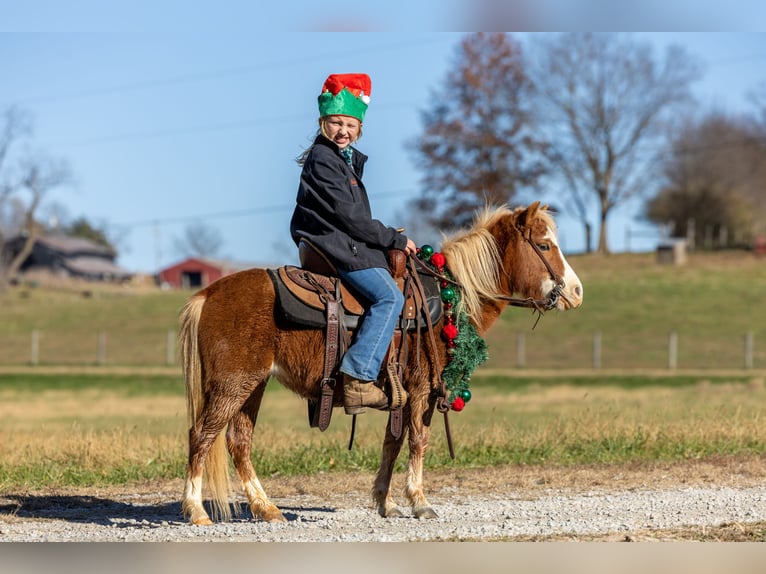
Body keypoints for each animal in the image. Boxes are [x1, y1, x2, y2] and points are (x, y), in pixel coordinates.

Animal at [179, 201, 583, 525]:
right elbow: (418, 440)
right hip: (233, 384)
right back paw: (196, 510)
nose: (577, 292)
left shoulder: (402, 393)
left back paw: (266, 508)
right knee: (201, 435)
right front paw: (420, 502)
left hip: (253, 385)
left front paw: (385, 502)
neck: (448, 297)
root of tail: (207, 294)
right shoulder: (421, 389)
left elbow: (393, 442)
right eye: (544, 245)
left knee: (239, 442)